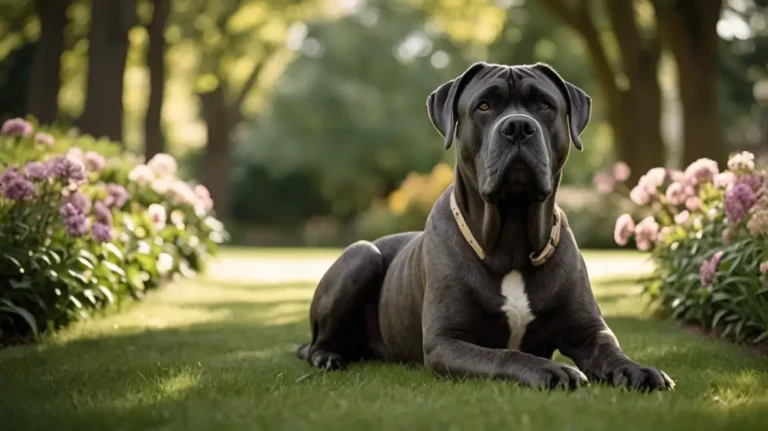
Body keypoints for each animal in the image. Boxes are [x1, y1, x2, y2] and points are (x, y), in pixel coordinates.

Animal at [296, 62, 676, 394]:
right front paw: (551, 369)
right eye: (484, 106)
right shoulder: (446, 342)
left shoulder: (588, 331)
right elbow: (505, 355)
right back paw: (328, 357)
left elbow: (611, 350)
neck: (512, 240)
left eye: (544, 105)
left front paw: (638, 369)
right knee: (318, 342)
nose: (519, 126)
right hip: (361, 257)